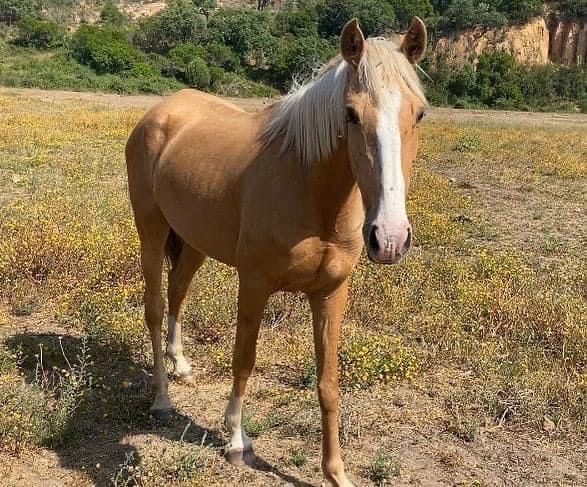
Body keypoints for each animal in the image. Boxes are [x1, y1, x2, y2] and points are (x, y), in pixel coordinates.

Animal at [126, 17, 428, 486]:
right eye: (351, 114)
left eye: (419, 112)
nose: (390, 238)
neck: (310, 189)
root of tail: (159, 113)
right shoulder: (254, 284)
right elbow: (243, 360)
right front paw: (236, 440)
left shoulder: (331, 293)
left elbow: (328, 382)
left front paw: (335, 471)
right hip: (152, 231)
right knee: (156, 308)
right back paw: (161, 397)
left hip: (193, 242)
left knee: (178, 293)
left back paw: (181, 365)